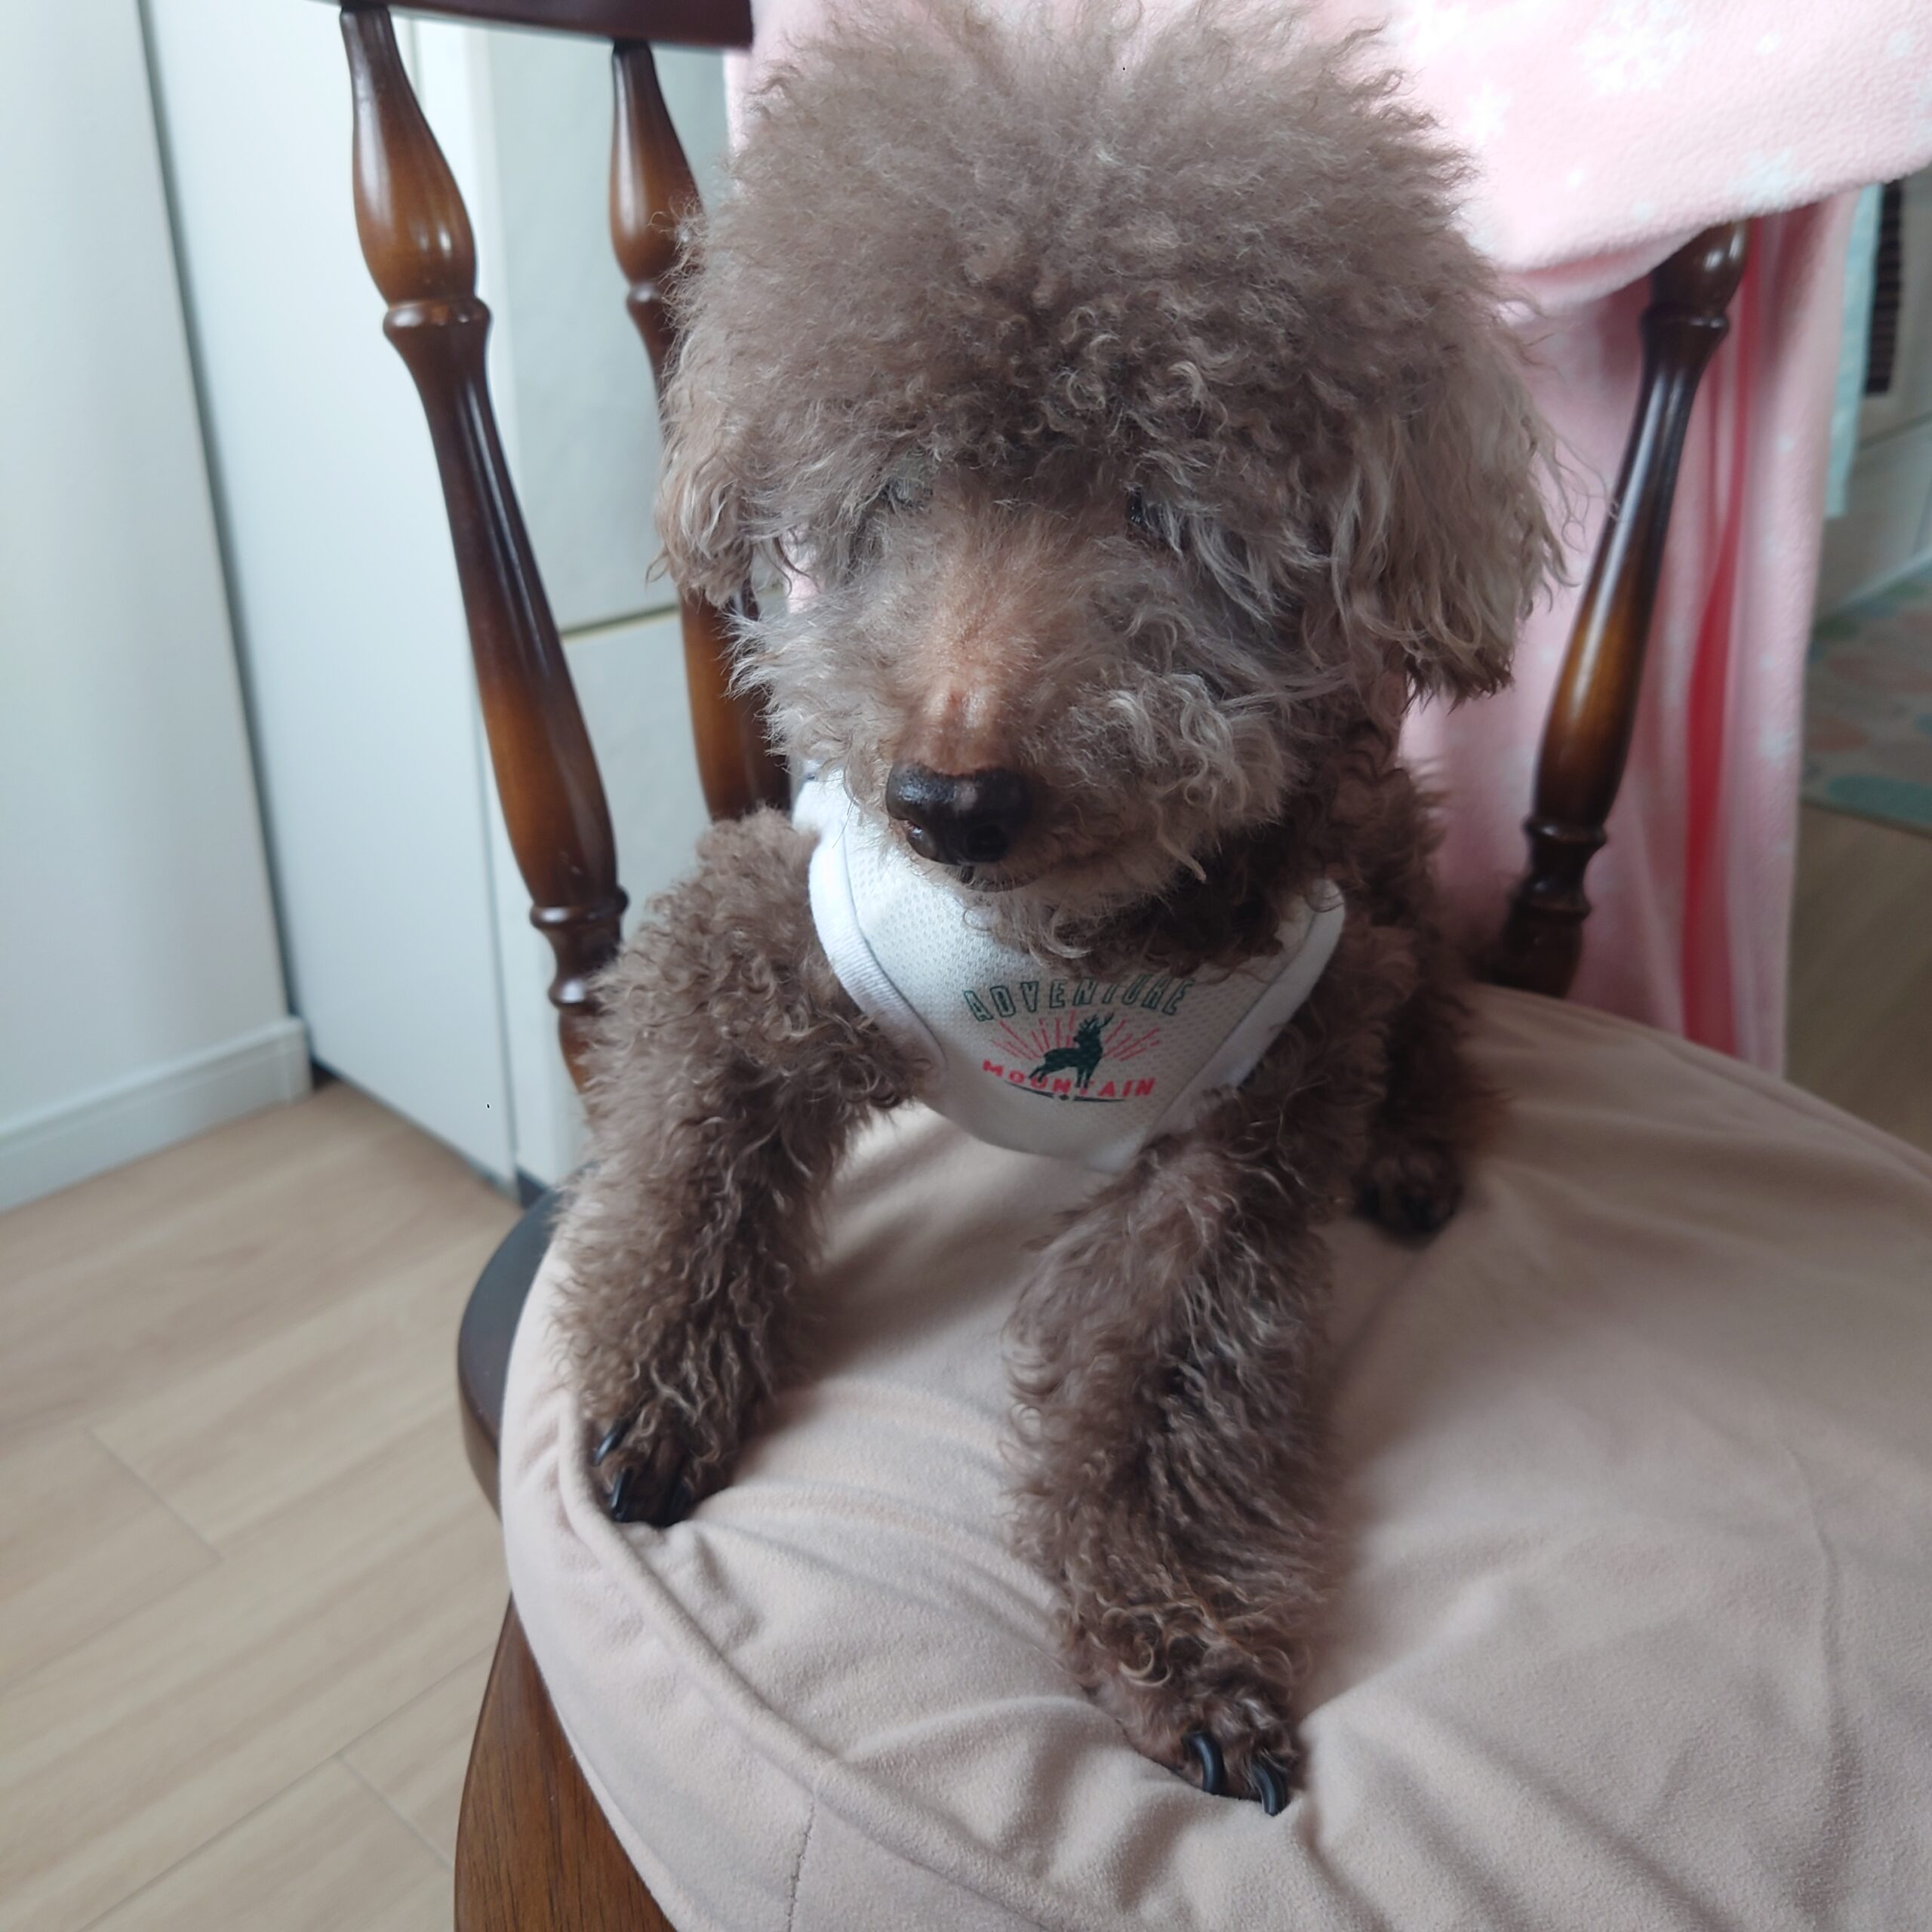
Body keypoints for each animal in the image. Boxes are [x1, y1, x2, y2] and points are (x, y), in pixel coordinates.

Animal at [556, 0, 1557, 1811]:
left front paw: (1180, 1646)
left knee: (1427, 998)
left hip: (1382, 871)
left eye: (1165, 507)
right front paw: (651, 1401)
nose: (947, 801)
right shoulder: (765, 934)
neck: (1071, 934)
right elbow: (684, 1160)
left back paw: (1414, 1145)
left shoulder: (1252, 1131)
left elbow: (1165, 1377)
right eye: (895, 490)